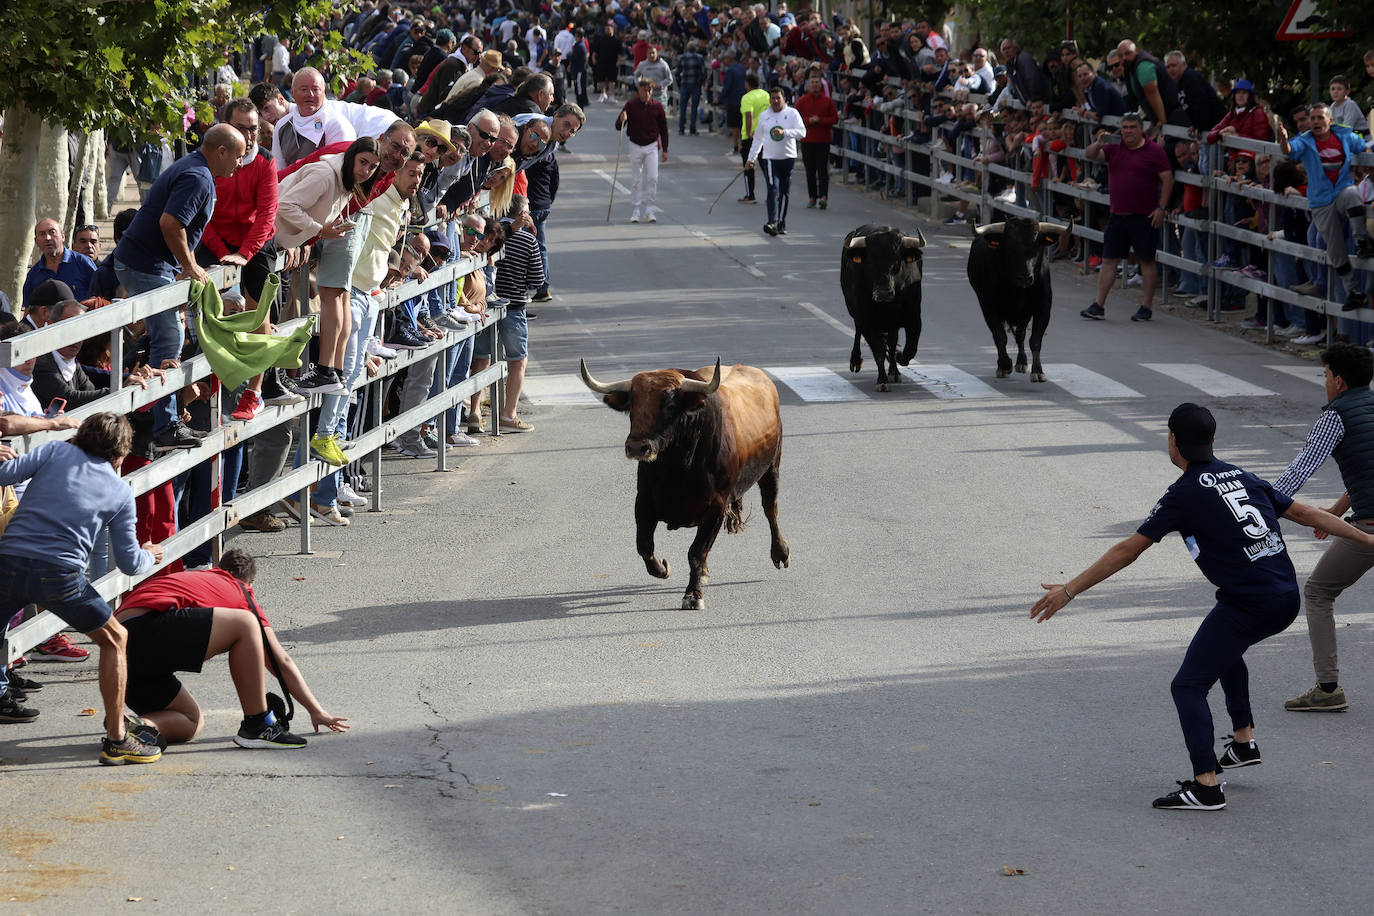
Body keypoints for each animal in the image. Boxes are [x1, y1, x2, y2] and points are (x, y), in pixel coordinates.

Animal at [582, 357, 796, 609]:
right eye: (632, 403)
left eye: (670, 404)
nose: (636, 447)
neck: (677, 466)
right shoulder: (643, 502)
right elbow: (644, 546)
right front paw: (663, 569)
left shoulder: (716, 507)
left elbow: (696, 552)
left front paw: (693, 595)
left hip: (772, 468)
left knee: (771, 509)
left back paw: (780, 553)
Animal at [829, 226, 928, 395]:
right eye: (870, 262)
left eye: (897, 261)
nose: (883, 293)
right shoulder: (867, 321)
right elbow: (879, 351)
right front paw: (881, 381)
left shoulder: (914, 319)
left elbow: (910, 348)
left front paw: (899, 358)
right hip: (854, 311)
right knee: (858, 331)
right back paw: (856, 360)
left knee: (893, 342)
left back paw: (894, 372)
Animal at [967, 216, 1071, 381]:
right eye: (1010, 247)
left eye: (1037, 246)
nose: (1025, 277)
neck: (1017, 290)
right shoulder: (989, 307)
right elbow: (1000, 336)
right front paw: (1005, 365)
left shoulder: (1043, 307)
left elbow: (1035, 340)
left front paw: (1038, 371)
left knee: (1020, 335)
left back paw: (1021, 362)